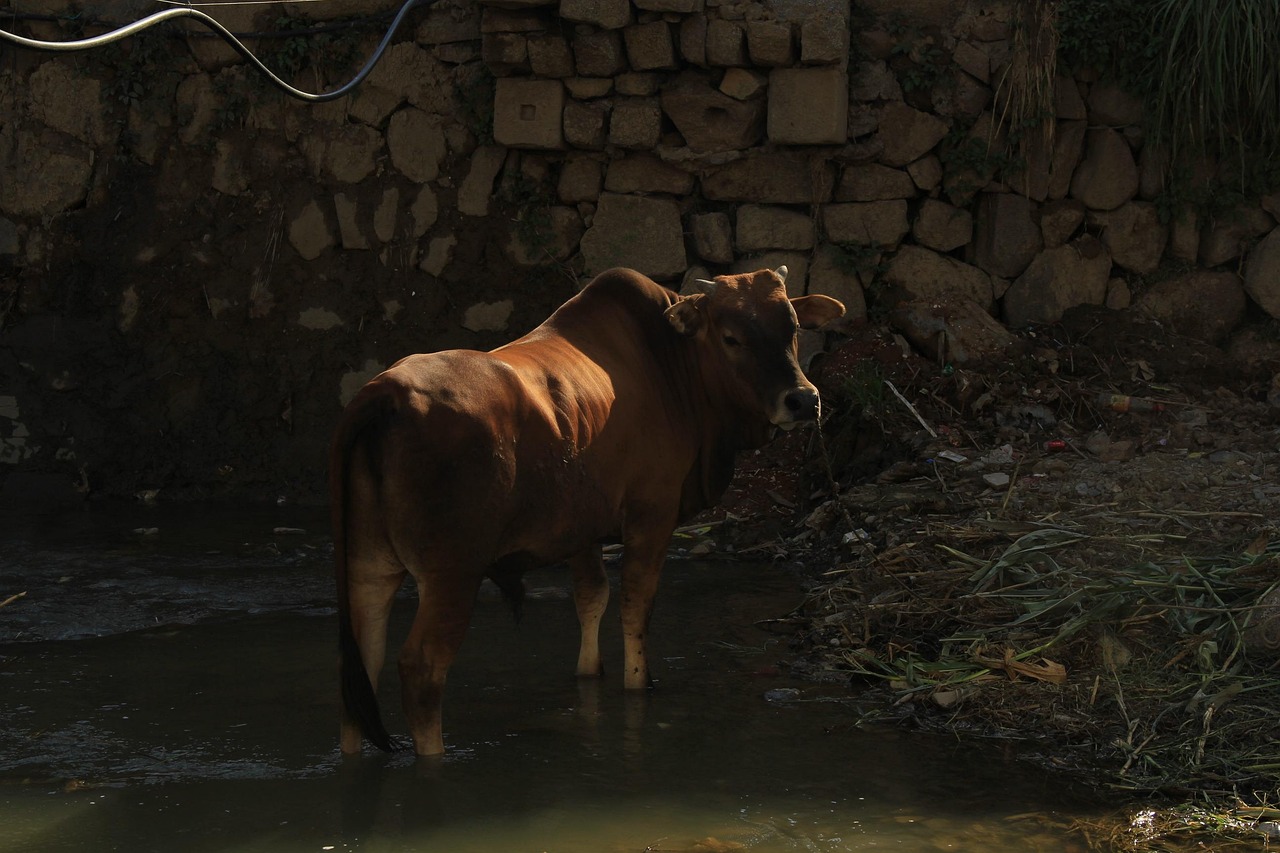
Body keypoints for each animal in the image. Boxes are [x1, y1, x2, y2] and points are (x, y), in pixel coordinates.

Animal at [330, 266, 845, 756]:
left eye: (793, 327)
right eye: (731, 337)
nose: (803, 400)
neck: (672, 364)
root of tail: (387, 392)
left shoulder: (582, 530)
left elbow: (591, 599)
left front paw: (589, 671)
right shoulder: (651, 515)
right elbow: (636, 607)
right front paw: (638, 682)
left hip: (368, 565)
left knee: (361, 668)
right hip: (452, 572)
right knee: (422, 668)